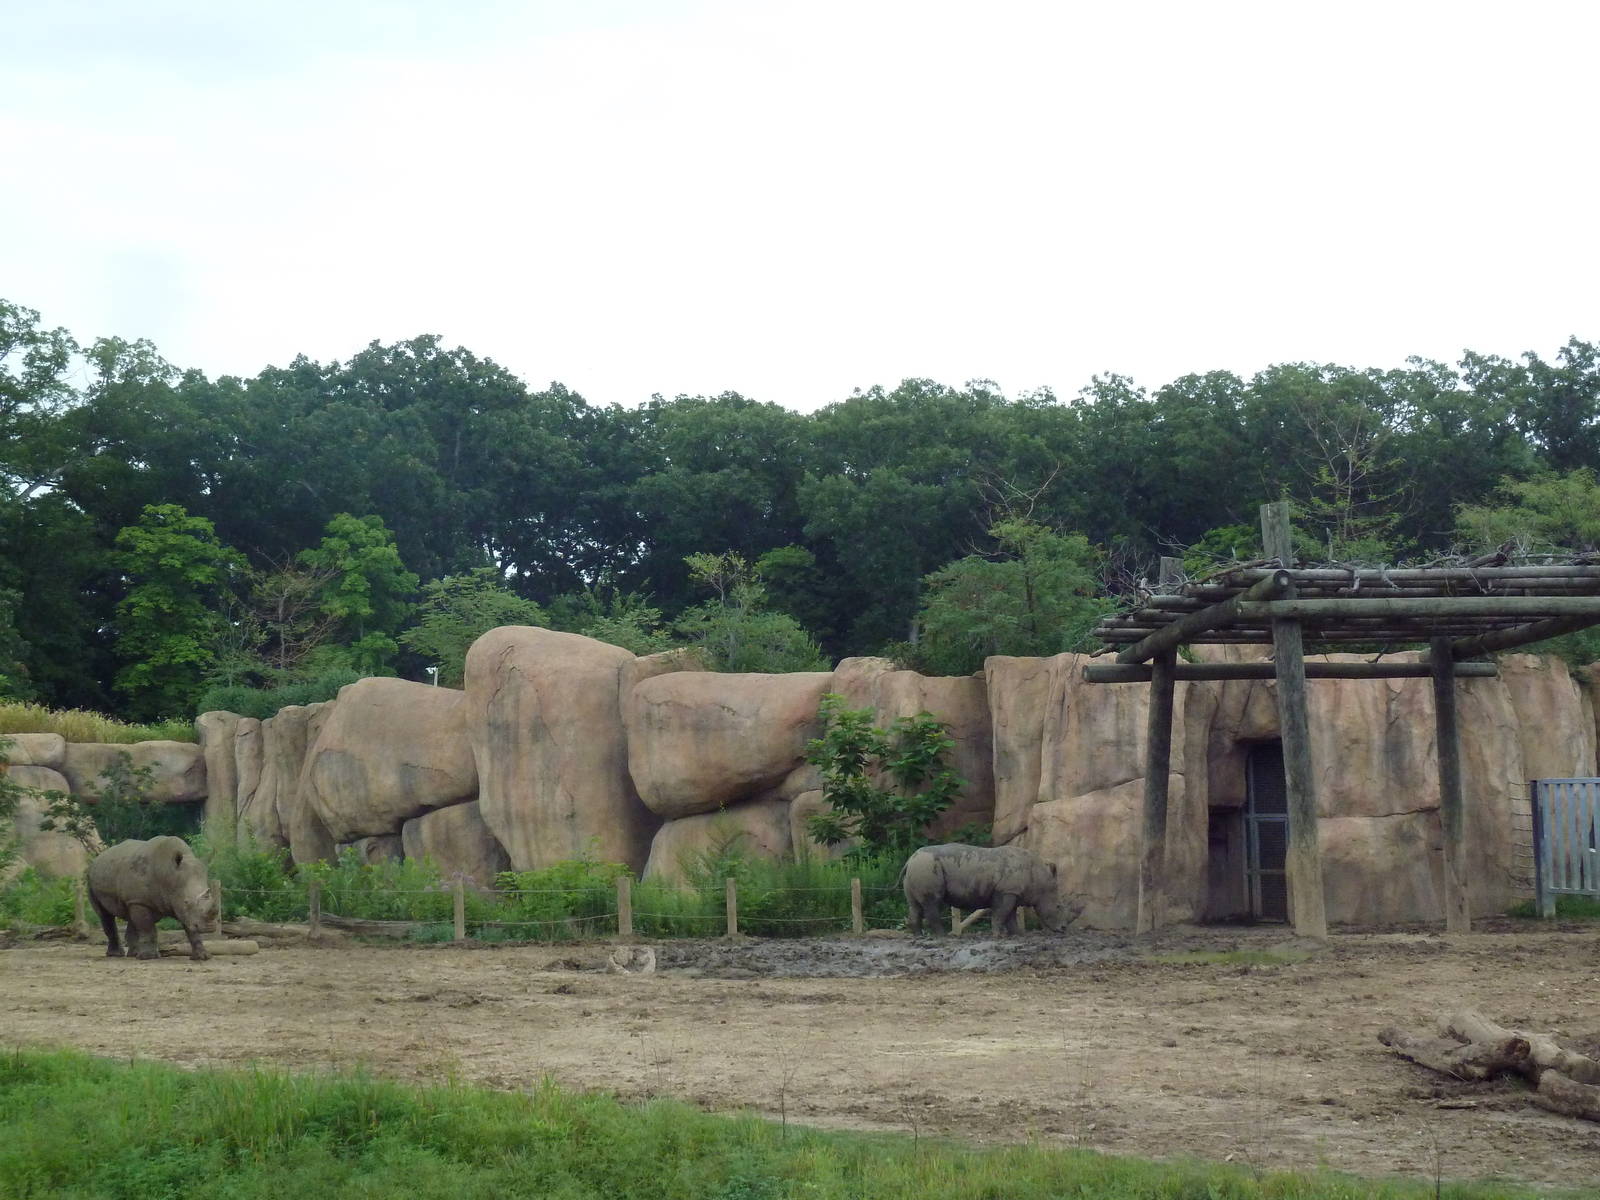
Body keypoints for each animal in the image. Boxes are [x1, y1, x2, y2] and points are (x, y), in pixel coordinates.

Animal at [87, 835, 219, 961]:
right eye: (186, 902)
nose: (210, 927)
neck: (169, 874)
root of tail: (97, 858)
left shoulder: (180, 905)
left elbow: (191, 929)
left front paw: (203, 957)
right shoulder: (142, 900)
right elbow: (147, 928)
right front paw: (148, 957)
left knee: (131, 915)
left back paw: (134, 954)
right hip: (91, 880)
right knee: (105, 915)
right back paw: (116, 955)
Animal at [902, 843, 1079, 935]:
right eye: (1058, 906)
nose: (1063, 929)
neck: (1038, 876)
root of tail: (910, 859)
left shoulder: (1012, 892)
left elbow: (1010, 915)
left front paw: (1018, 935)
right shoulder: (1007, 891)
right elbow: (1001, 913)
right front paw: (998, 936)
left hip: (918, 868)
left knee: (914, 905)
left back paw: (918, 936)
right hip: (926, 866)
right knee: (932, 903)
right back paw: (943, 937)